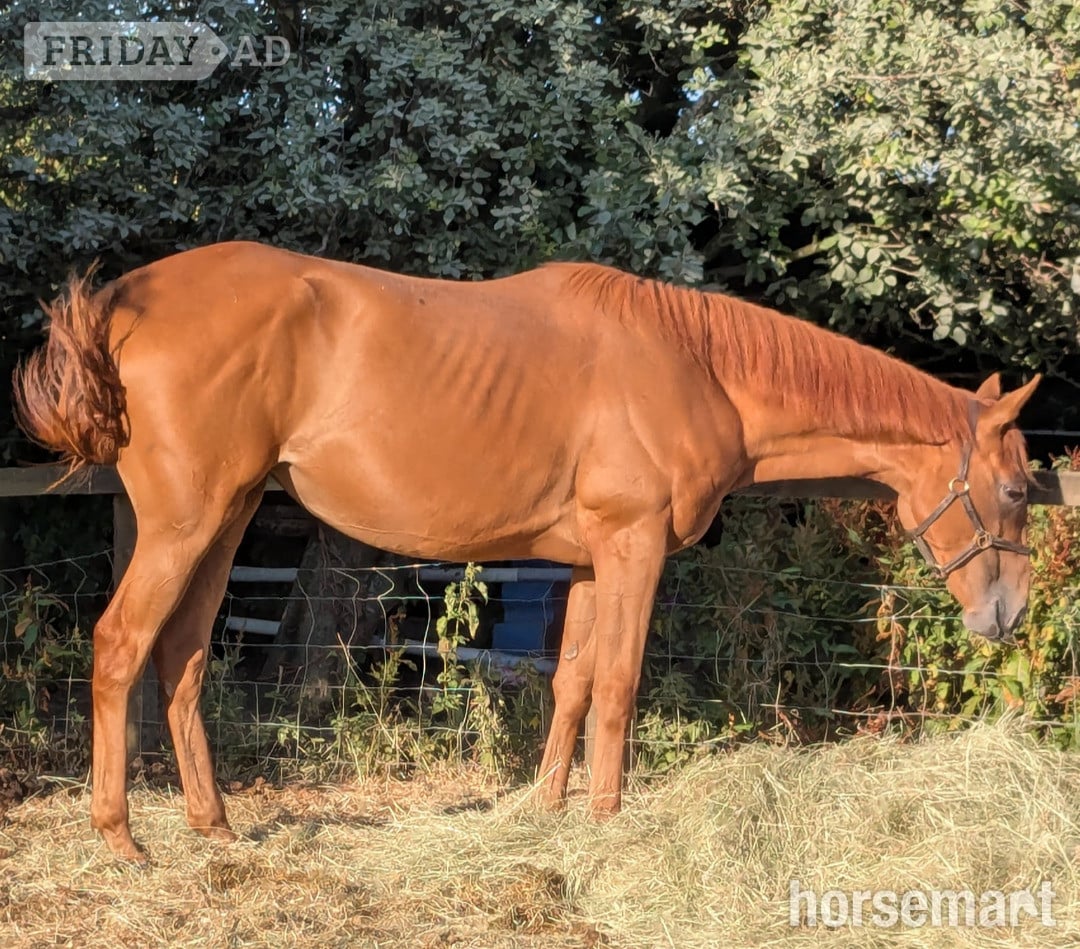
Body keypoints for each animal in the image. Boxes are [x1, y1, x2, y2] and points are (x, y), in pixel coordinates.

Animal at [14, 241, 1039, 863]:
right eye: (1020, 489)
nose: (1009, 615)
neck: (698, 368)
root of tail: (125, 303)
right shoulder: (634, 547)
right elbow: (619, 684)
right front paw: (608, 817)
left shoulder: (589, 560)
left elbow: (574, 682)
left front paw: (549, 811)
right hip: (185, 526)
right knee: (119, 647)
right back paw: (120, 835)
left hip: (223, 522)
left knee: (182, 657)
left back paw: (213, 823)